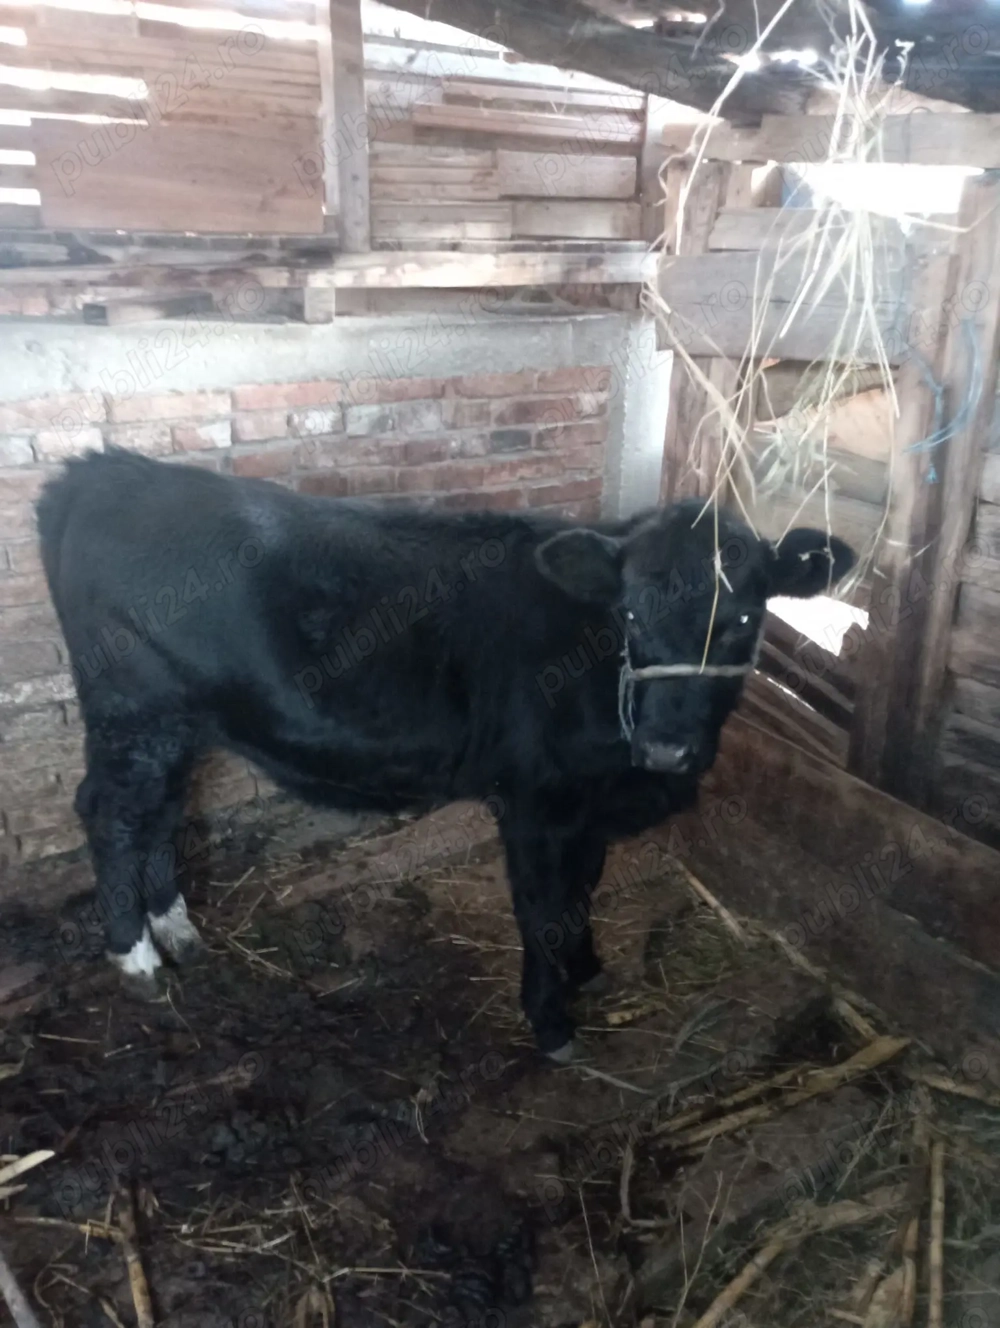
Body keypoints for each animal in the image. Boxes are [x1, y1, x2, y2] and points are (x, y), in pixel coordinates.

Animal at [37, 448, 855, 1062]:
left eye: (744, 616)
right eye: (628, 613)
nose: (666, 745)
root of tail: (104, 469)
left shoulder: (584, 808)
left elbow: (583, 891)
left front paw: (588, 970)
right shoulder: (535, 803)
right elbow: (544, 908)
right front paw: (551, 1020)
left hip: (177, 724)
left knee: (160, 814)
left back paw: (177, 932)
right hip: (134, 712)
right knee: (111, 815)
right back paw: (136, 957)